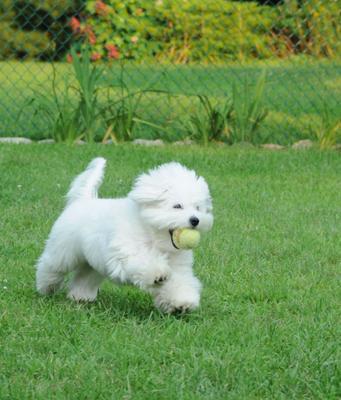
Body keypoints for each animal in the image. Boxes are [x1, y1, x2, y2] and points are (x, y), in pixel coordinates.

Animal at [37, 158, 212, 314]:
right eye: (177, 206)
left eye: (198, 208)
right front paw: (158, 274)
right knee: (51, 266)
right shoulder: (126, 251)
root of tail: (83, 200)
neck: (153, 235)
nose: (195, 220)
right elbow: (143, 261)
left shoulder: (178, 266)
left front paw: (182, 301)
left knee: (86, 276)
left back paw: (80, 296)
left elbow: (180, 281)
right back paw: (45, 288)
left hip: (93, 261)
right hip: (63, 250)